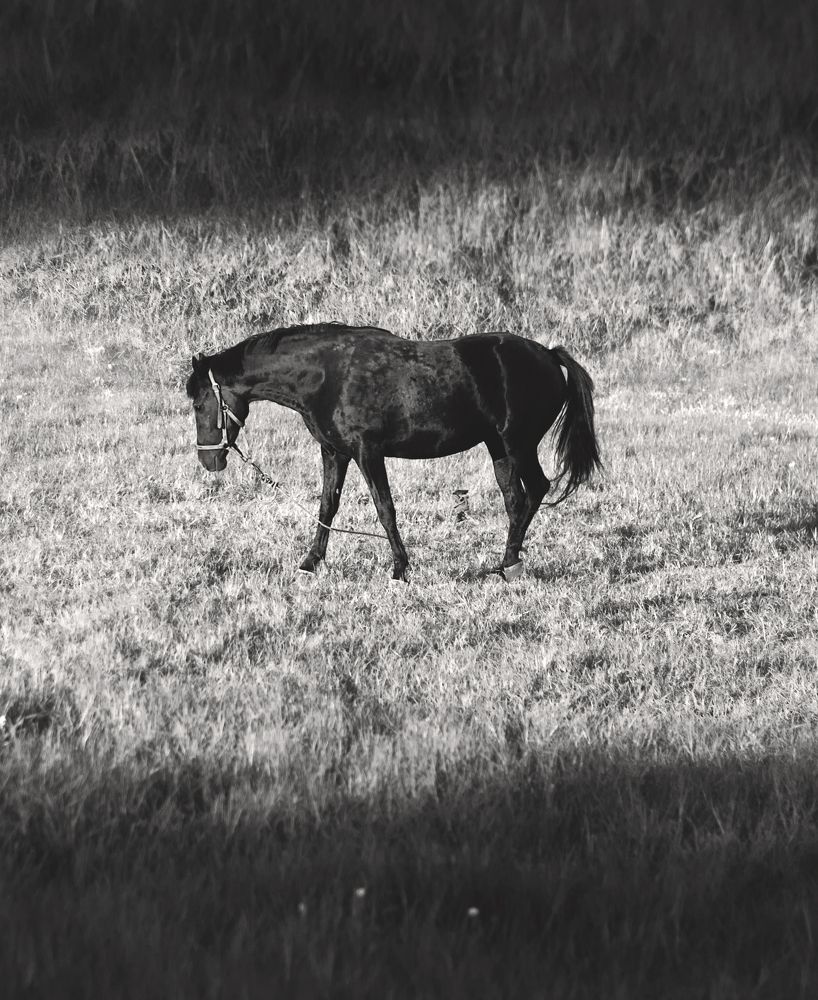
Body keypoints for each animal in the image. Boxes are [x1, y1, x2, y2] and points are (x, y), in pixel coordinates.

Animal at [186, 323, 602, 581]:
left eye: (199, 402)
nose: (209, 460)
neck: (328, 374)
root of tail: (547, 354)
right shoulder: (334, 452)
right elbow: (327, 506)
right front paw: (310, 563)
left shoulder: (367, 453)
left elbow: (385, 509)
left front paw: (400, 569)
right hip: (498, 447)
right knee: (515, 499)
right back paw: (504, 564)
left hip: (518, 444)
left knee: (536, 489)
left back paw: (511, 564)